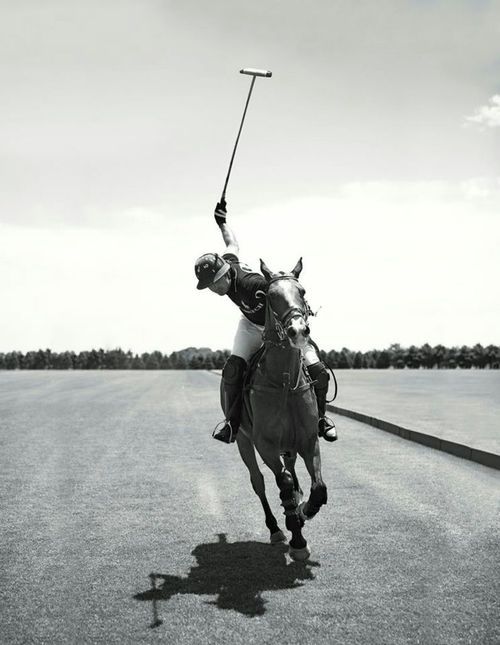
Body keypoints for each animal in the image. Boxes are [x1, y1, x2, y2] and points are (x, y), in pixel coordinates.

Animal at [223, 256, 328, 560]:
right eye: (269, 296)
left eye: (302, 291)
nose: (298, 331)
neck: (284, 382)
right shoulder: (264, 444)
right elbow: (283, 483)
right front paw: (297, 539)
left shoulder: (308, 439)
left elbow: (318, 487)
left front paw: (305, 511)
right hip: (243, 440)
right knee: (258, 481)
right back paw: (276, 529)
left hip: (289, 444)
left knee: (291, 470)